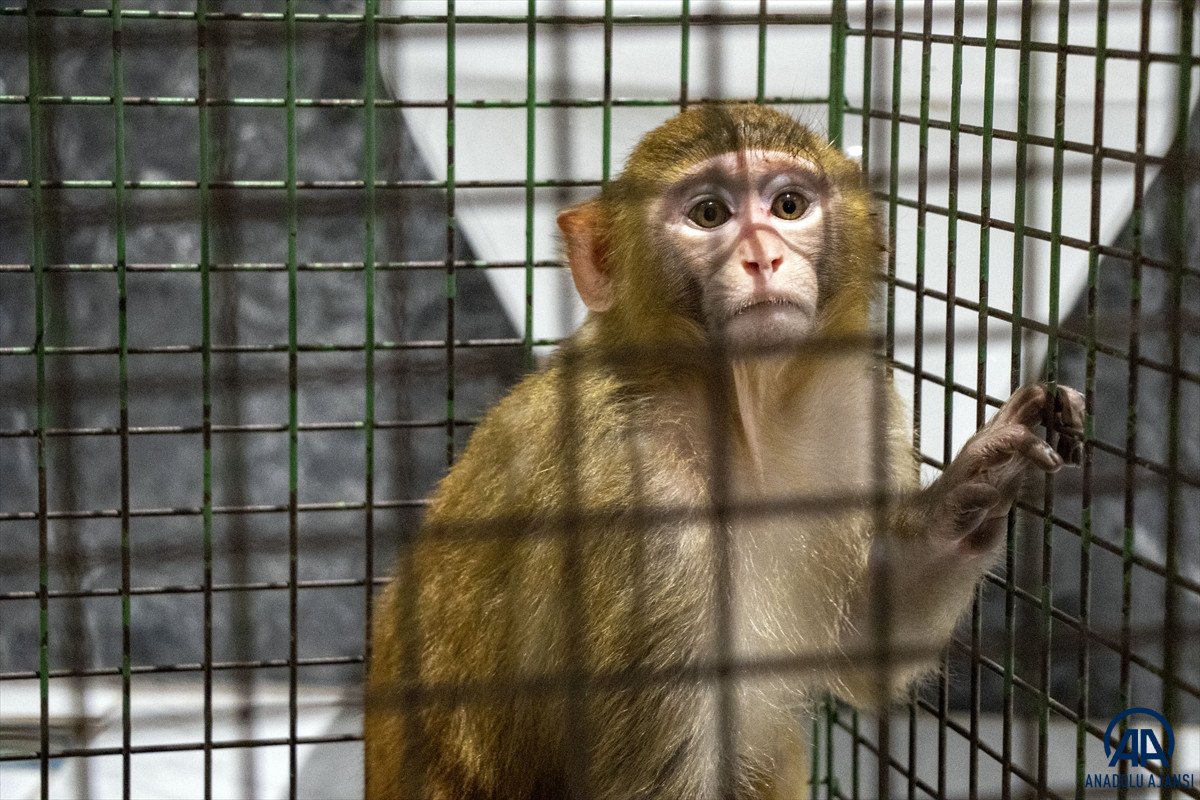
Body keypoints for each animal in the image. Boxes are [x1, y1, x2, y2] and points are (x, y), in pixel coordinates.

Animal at [360, 104, 1084, 800]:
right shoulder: (637, 506)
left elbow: (860, 648)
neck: (738, 416)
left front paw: (978, 484)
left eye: (788, 205)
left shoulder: (854, 407)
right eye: (710, 214)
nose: (763, 259)